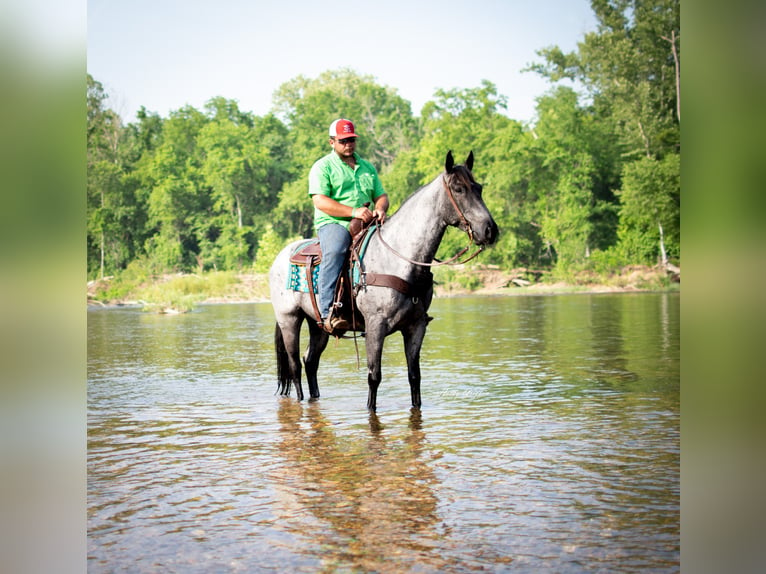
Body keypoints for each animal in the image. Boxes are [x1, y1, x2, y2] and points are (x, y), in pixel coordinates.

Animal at [268, 151, 498, 412]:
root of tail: (281, 256)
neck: (399, 258)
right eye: (458, 189)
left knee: (310, 361)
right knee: (295, 365)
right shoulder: (375, 326)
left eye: (478, 188)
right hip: (289, 319)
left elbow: (414, 376)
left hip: (318, 325)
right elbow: (374, 376)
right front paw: (370, 409)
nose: (490, 230)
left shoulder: (416, 327)